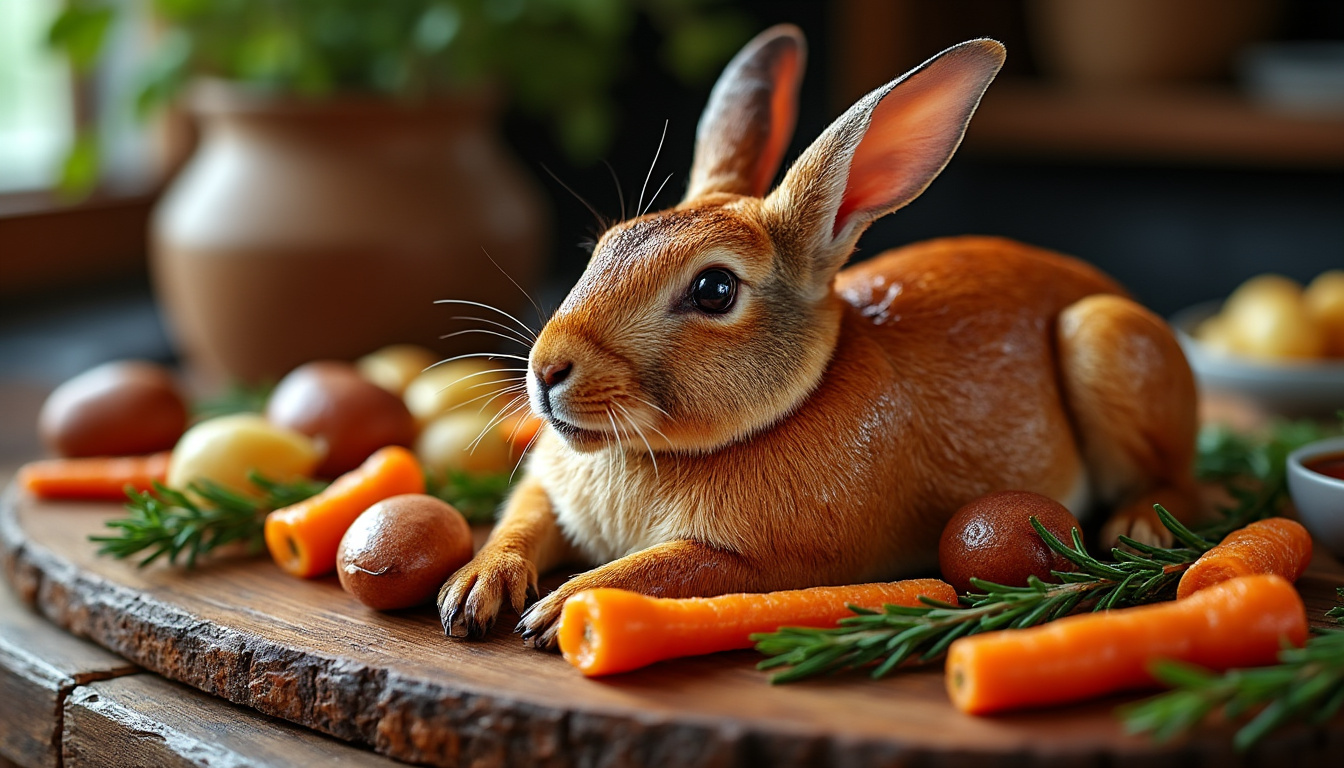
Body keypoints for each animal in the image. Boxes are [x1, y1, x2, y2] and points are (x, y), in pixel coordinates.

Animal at [438, 24, 1199, 649]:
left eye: (715, 291)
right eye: (604, 246)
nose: (546, 371)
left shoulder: (756, 560)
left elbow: (662, 569)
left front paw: (561, 606)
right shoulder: (549, 492)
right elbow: (521, 520)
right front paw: (472, 590)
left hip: (1105, 341)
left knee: (1172, 476)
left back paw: (1141, 527)